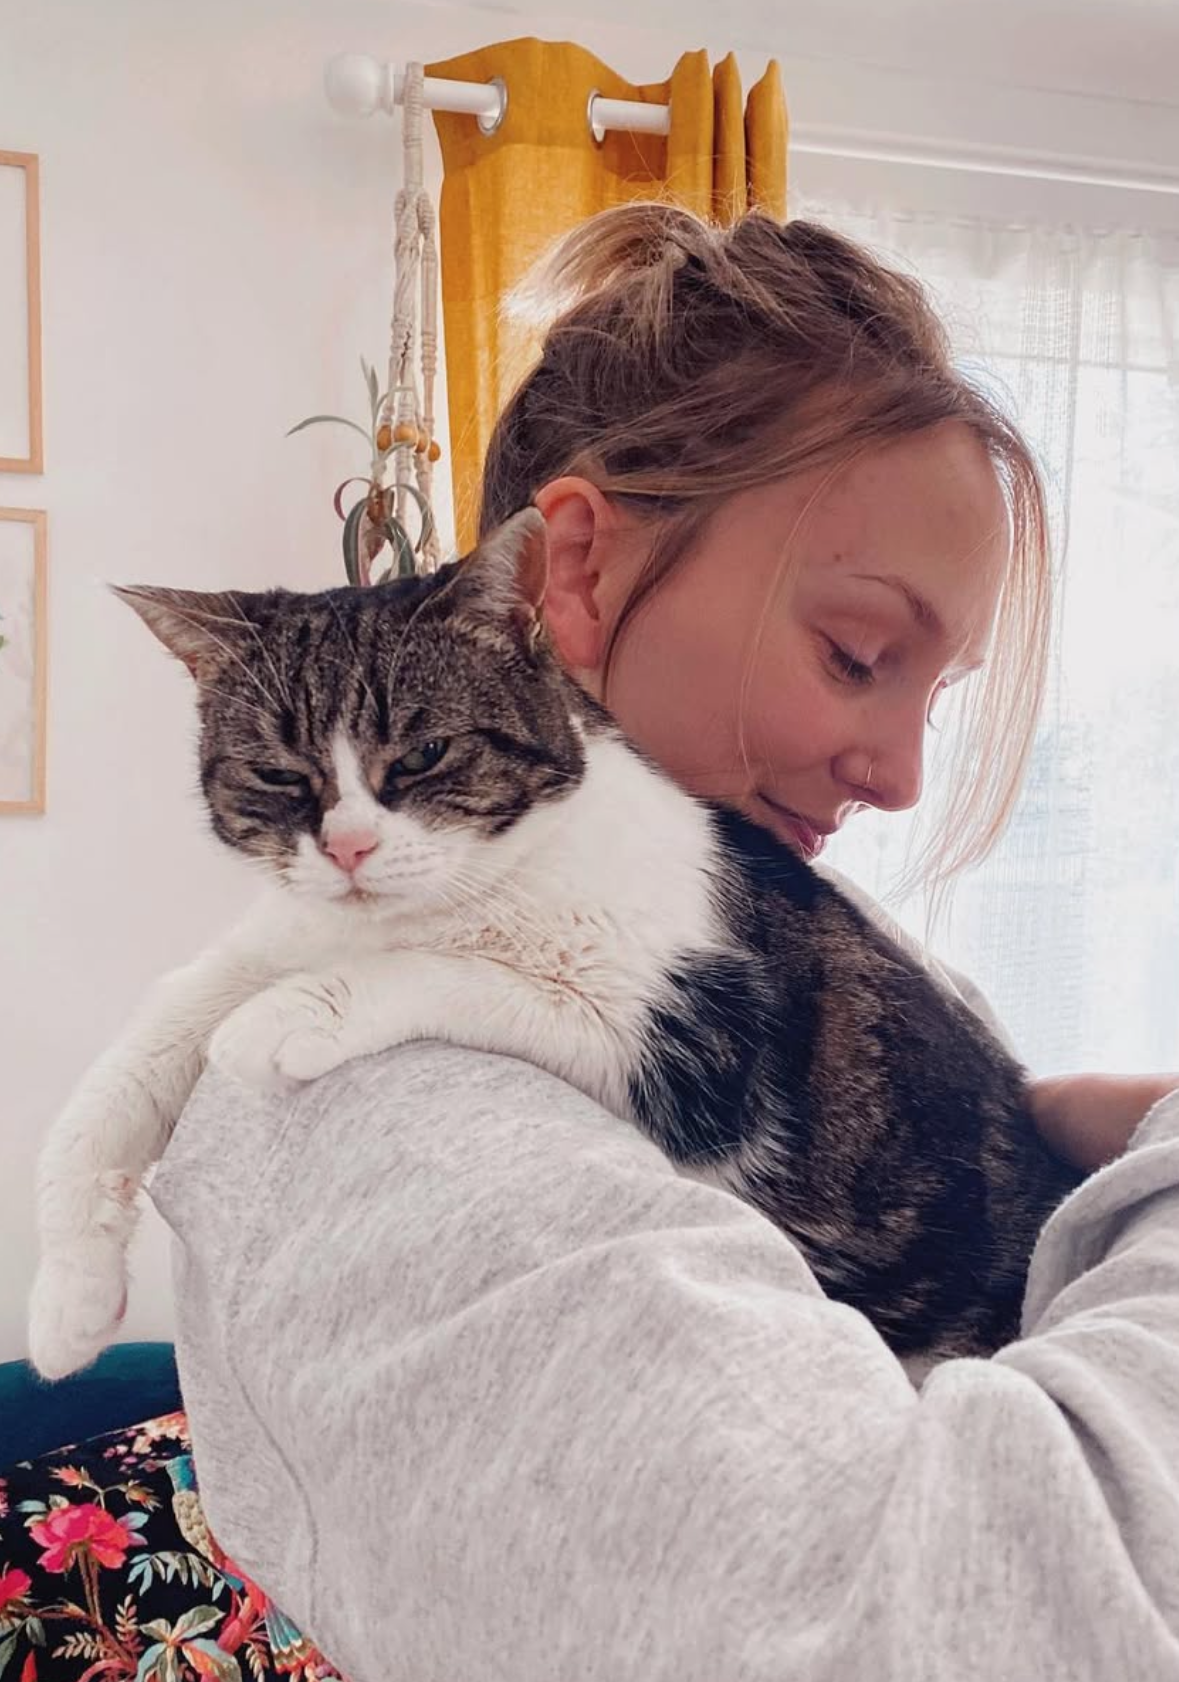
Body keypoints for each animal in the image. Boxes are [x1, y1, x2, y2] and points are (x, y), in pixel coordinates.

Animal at [29, 508, 1081, 1382]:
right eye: (280, 776)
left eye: (423, 755)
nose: (349, 848)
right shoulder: (276, 931)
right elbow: (136, 1055)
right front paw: (67, 1300)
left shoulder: (696, 1039)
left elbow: (456, 974)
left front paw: (287, 1015)